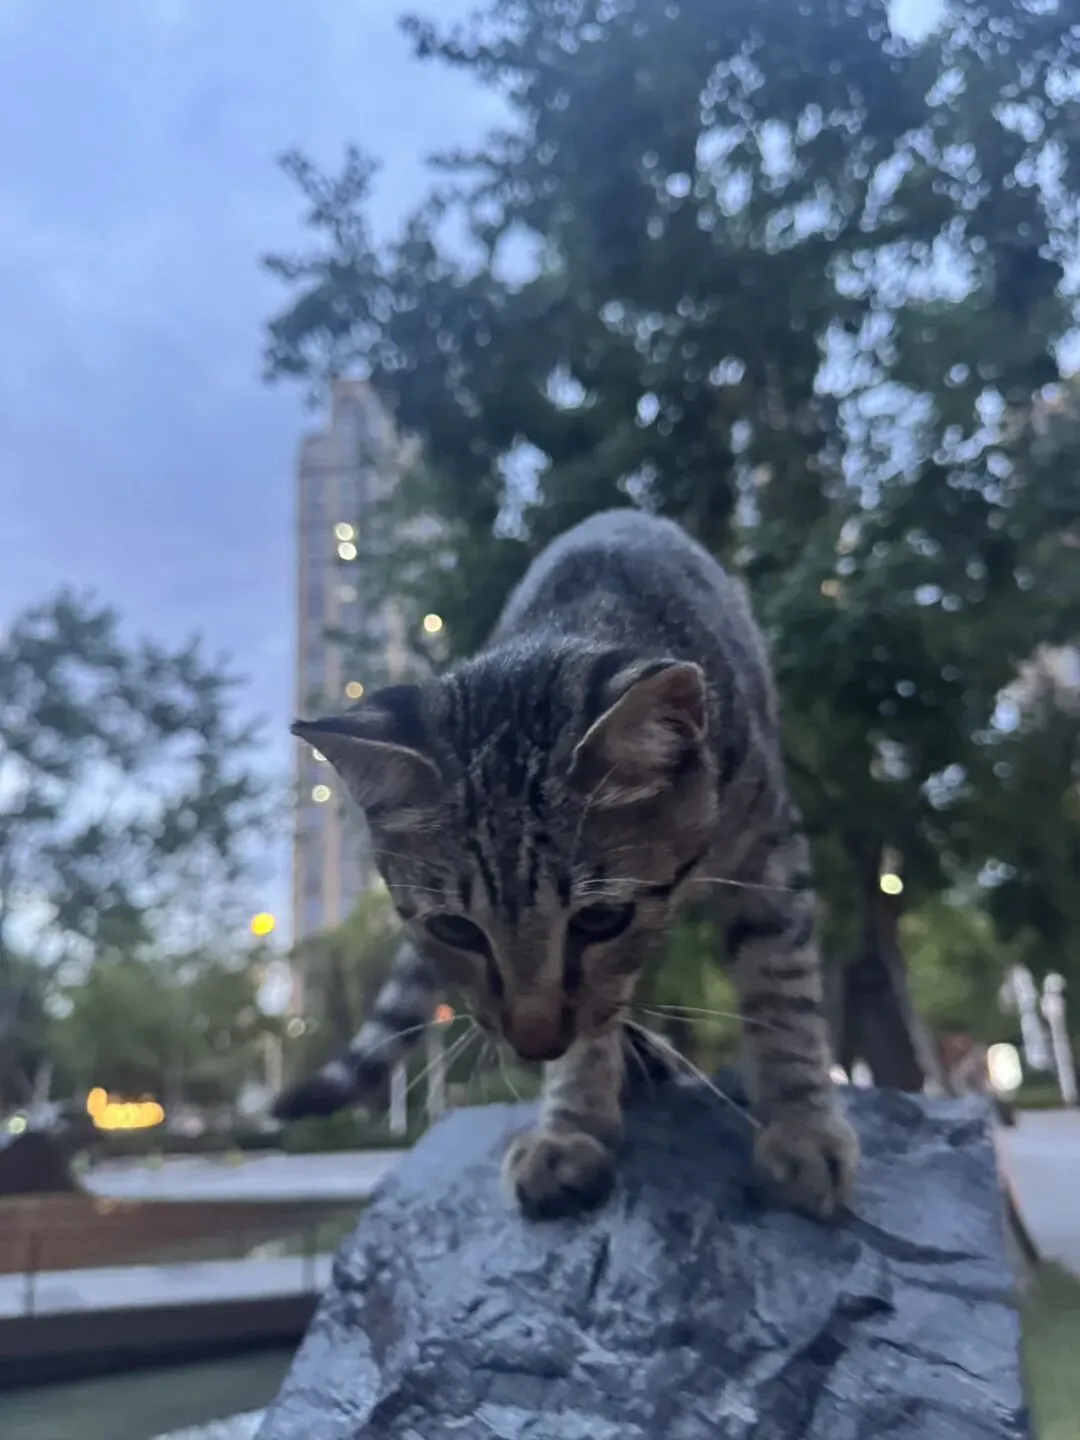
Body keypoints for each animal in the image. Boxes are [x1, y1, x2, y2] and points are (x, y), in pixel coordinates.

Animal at [275, 509, 859, 1222]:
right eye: (455, 930)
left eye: (601, 920)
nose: (534, 1043)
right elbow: (592, 1032)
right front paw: (573, 1122)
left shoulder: (771, 842)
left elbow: (782, 986)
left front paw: (802, 1125)